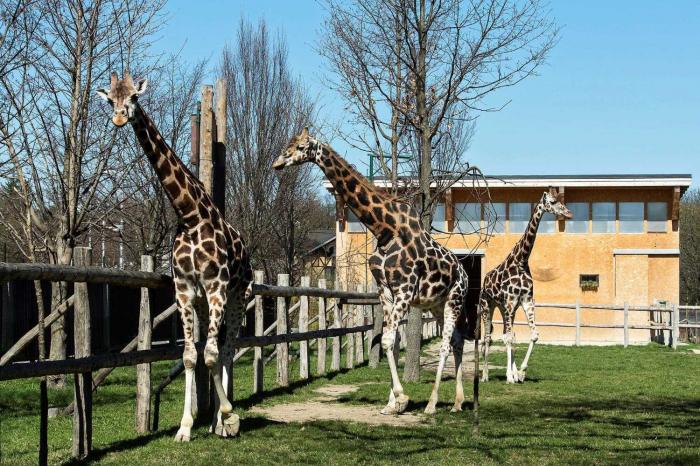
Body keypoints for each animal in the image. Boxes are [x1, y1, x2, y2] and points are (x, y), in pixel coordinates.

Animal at [96, 73, 252, 440]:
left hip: (238, 294)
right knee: (211, 349)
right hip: (204, 302)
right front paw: (185, 427)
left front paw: (229, 415)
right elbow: (191, 355)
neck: (191, 216)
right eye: (111, 100)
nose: (120, 118)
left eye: (134, 97)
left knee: (226, 349)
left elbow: (211, 354)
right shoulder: (185, 289)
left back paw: (223, 421)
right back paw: (212, 421)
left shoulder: (217, 286)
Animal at [270, 128, 474, 416]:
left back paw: (432, 404)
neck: (384, 229)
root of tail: (465, 274)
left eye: (300, 147)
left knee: (446, 344)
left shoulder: (404, 290)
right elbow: (389, 341)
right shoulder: (385, 292)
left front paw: (401, 398)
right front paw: (392, 404)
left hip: (454, 300)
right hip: (436, 304)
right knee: (456, 341)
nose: (277, 163)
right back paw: (457, 402)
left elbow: (387, 341)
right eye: (288, 143)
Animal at [478, 187, 572, 384]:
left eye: (560, 200)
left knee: (507, 334)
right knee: (488, 338)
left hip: (505, 308)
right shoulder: (509, 301)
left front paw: (520, 372)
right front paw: (509, 376)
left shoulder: (526, 300)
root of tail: (485, 280)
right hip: (488, 305)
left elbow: (532, 335)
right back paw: (485, 375)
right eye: (552, 202)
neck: (521, 260)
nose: (568, 213)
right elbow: (508, 339)